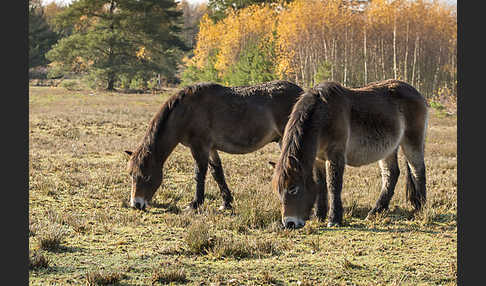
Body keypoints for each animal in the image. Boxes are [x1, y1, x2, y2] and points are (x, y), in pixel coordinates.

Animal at [272, 79, 428, 229]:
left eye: (293, 188)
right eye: (279, 191)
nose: (290, 223)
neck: (323, 114)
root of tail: (417, 93)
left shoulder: (335, 154)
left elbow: (333, 185)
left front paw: (334, 219)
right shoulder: (318, 159)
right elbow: (320, 185)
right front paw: (319, 216)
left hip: (412, 142)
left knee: (417, 171)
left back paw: (421, 209)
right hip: (389, 149)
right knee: (391, 174)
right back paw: (376, 211)